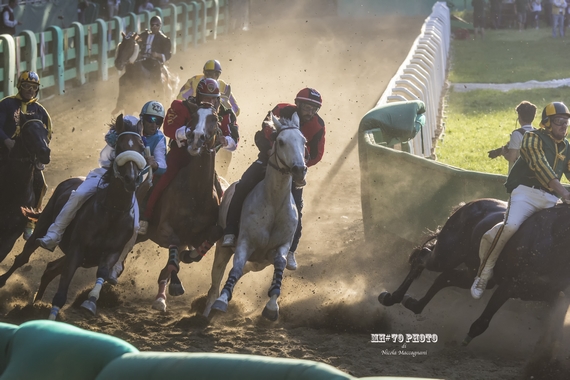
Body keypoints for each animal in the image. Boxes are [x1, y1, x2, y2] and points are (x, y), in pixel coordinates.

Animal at [0, 114, 145, 320]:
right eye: (120, 146)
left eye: (141, 147)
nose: (130, 179)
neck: (112, 211)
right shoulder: (77, 248)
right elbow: (60, 295)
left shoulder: (111, 252)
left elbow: (102, 272)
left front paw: (90, 302)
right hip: (43, 227)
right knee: (24, 257)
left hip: (85, 259)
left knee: (51, 269)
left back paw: (34, 306)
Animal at [136, 101, 223, 312]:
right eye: (193, 117)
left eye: (215, 119)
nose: (196, 137)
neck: (195, 193)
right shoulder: (165, 230)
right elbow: (173, 257)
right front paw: (175, 282)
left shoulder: (200, 234)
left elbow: (205, 243)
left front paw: (188, 256)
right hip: (140, 234)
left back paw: (161, 297)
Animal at [378, 199, 570, 344]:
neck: (554, 238)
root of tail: (467, 205)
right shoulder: (508, 286)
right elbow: (482, 322)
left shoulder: (553, 296)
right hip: (446, 256)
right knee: (422, 258)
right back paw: (391, 297)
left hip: (475, 274)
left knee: (444, 278)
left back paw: (413, 303)